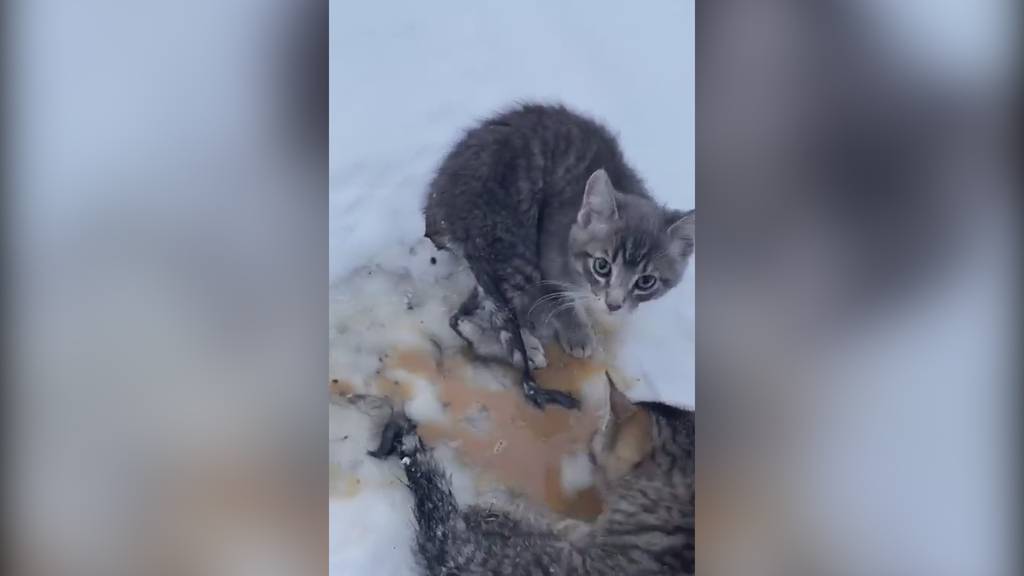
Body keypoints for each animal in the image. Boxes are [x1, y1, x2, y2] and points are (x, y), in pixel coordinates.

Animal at [423, 104, 696, 407]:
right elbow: (560, 297)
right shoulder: (548, 255)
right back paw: (525, 344)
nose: (613, 305)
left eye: (646, 281)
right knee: (497, 303)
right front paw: (577, 332)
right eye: (602, 266)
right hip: (516, 243)